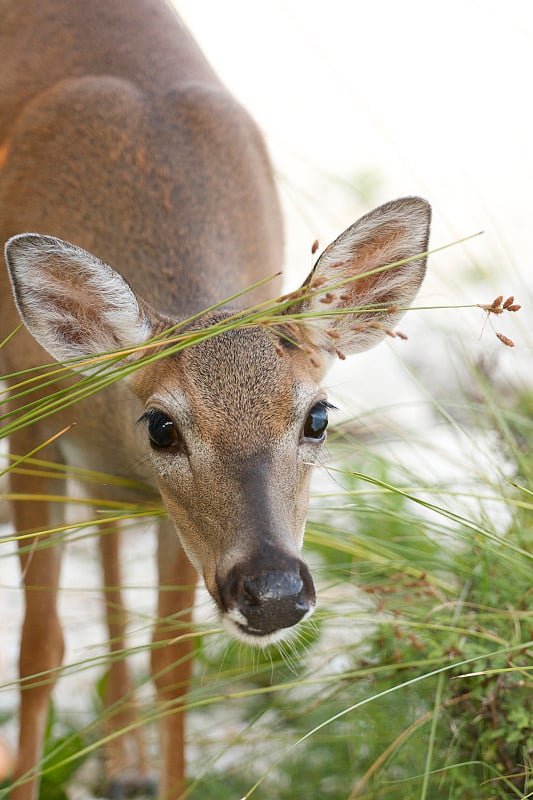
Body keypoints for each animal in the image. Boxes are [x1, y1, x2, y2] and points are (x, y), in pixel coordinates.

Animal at [0, 1, 430, 800]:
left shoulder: (174, 515)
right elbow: (38, 650)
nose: (273, 591)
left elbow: (173, 660)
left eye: (317, 416)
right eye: (162, 426)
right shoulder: (28, 419)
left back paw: (125, 762)